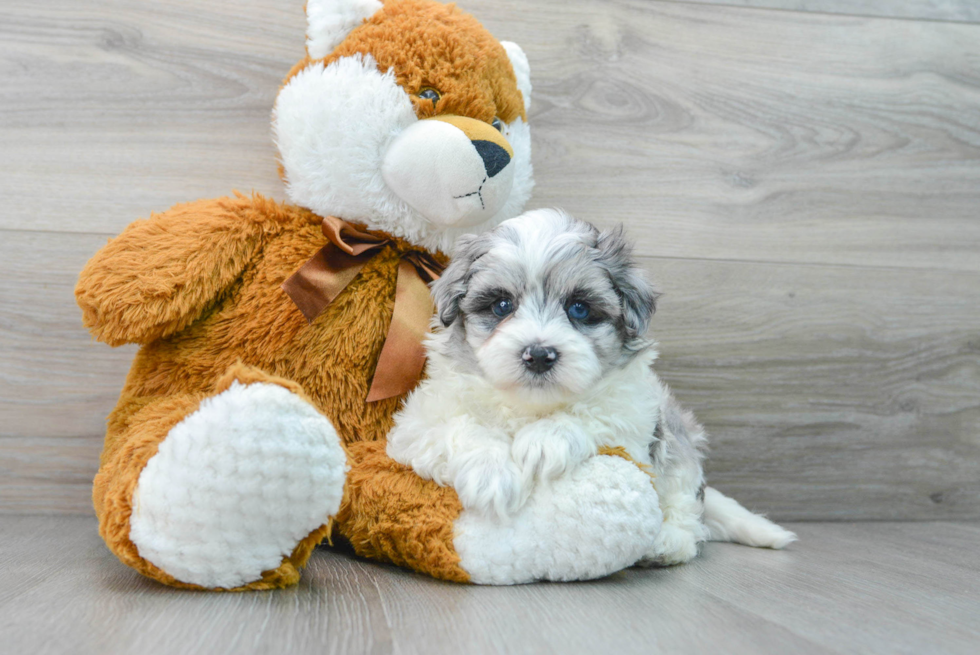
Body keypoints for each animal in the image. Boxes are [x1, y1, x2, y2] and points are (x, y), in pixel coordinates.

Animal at [384, 209, 796, 564]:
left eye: (579, 308)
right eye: (502, 305)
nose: (539, 354)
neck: (532, 406)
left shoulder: (635, 415)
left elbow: (596, 412)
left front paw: (545, 439)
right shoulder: (417, 422)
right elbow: (461, 426)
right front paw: (492, 473)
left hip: (677, 438)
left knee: (684, 504)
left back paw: (666, 543)